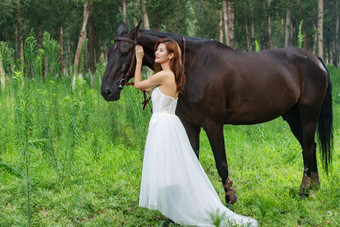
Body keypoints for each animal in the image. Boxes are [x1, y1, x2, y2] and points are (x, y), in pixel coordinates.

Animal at [101, 22, 332, 205]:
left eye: (124, 53)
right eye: (109, 53)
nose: (107, 91)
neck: (192, 66)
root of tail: (316, 59)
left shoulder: (212, 125)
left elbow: (221, 164)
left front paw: (230, 201)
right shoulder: (190, 125)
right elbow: (192, 159)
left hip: (308, 115)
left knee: (307, 149)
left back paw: (304, 192)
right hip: (293, 117)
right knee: (310, 146)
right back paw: (314, 187)